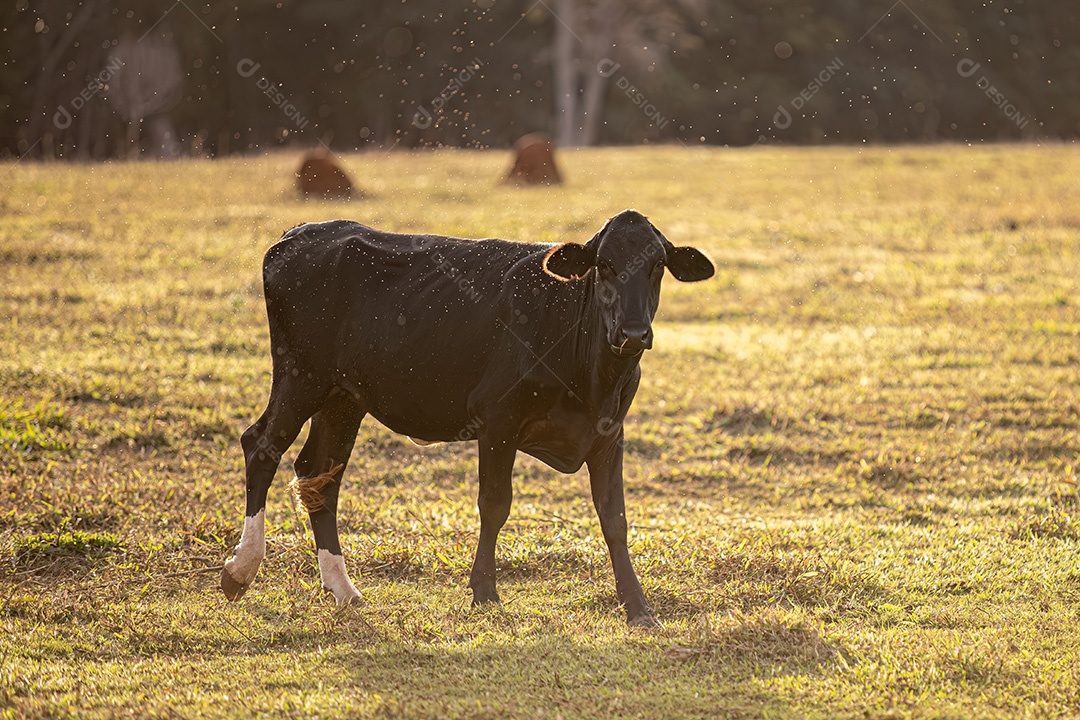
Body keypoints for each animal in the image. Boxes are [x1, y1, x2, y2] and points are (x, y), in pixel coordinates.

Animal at [221, 210, 714, 626]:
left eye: (657, 265)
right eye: (604, 265)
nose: (633, 333)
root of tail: (303, 231)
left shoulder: (610, 432)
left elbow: (615, 518)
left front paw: (637, 606)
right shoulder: (498, 422)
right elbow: (495, 504)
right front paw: (485, 592)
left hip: (343, 397)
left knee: (319, 473)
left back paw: (343, 589)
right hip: (300, 376)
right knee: (261, 445)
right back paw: (241, 570)